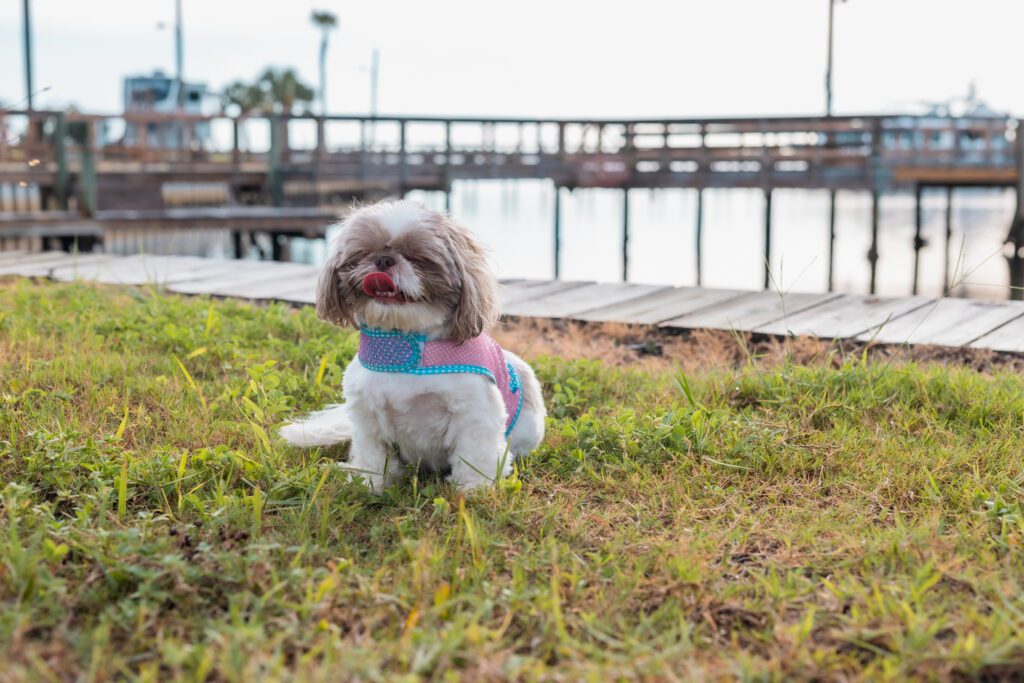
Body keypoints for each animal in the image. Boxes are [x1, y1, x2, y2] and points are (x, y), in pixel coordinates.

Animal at [280, 197, 548, 491]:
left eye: (418, 258)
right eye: (363, 253)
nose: (384, 259)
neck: (400, 343)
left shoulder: (474, 413)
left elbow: (474, 454)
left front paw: (473, 488)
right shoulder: (367, 415)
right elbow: (373, 454)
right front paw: (369, 482)